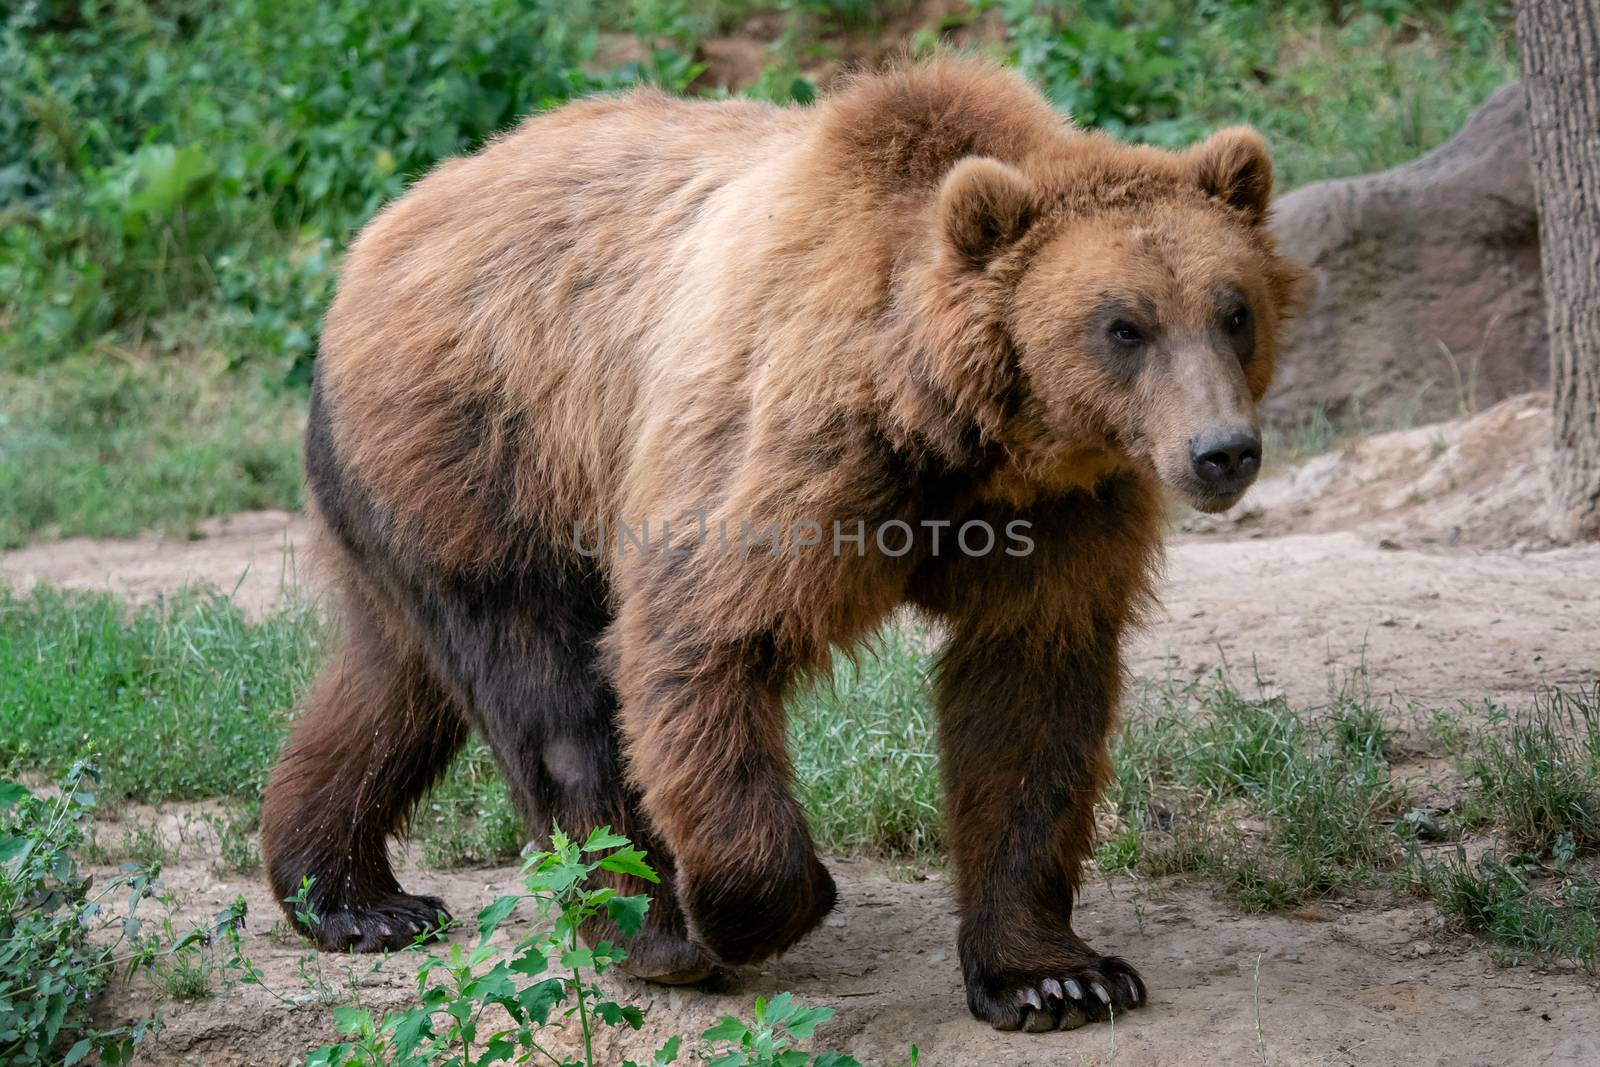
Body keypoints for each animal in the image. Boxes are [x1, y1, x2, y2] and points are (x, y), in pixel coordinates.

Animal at [259, 58, 1299, 1036]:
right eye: (1123, 325)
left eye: (1233, 309)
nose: (1221, 450)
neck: (956, 433)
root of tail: (381, 232)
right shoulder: (797, 445)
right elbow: (704, 636)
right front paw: (748, 908)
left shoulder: (1060, 515)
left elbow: (1030, 702)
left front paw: (1056, 976)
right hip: (491, 441)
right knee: (547, 688)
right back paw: (649, 931)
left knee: (392, 679)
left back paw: (351, 895)